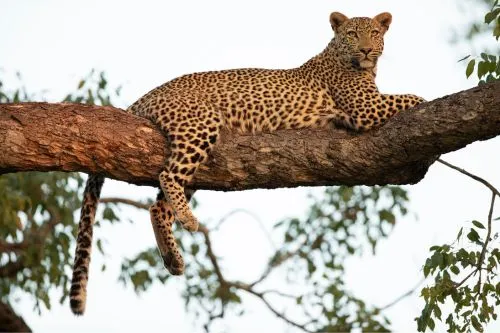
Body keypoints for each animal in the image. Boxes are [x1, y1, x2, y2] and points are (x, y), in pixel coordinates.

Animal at [67, 11, 426, 314]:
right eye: (352, 34)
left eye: (375, 33)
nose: (366, 50)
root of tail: (143, 98)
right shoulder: (366, 108)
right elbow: (412, 97)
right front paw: (427, 100)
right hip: (201, 124)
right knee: (169, 176)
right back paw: (188, 221)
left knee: (158, 205)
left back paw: (173, 257)